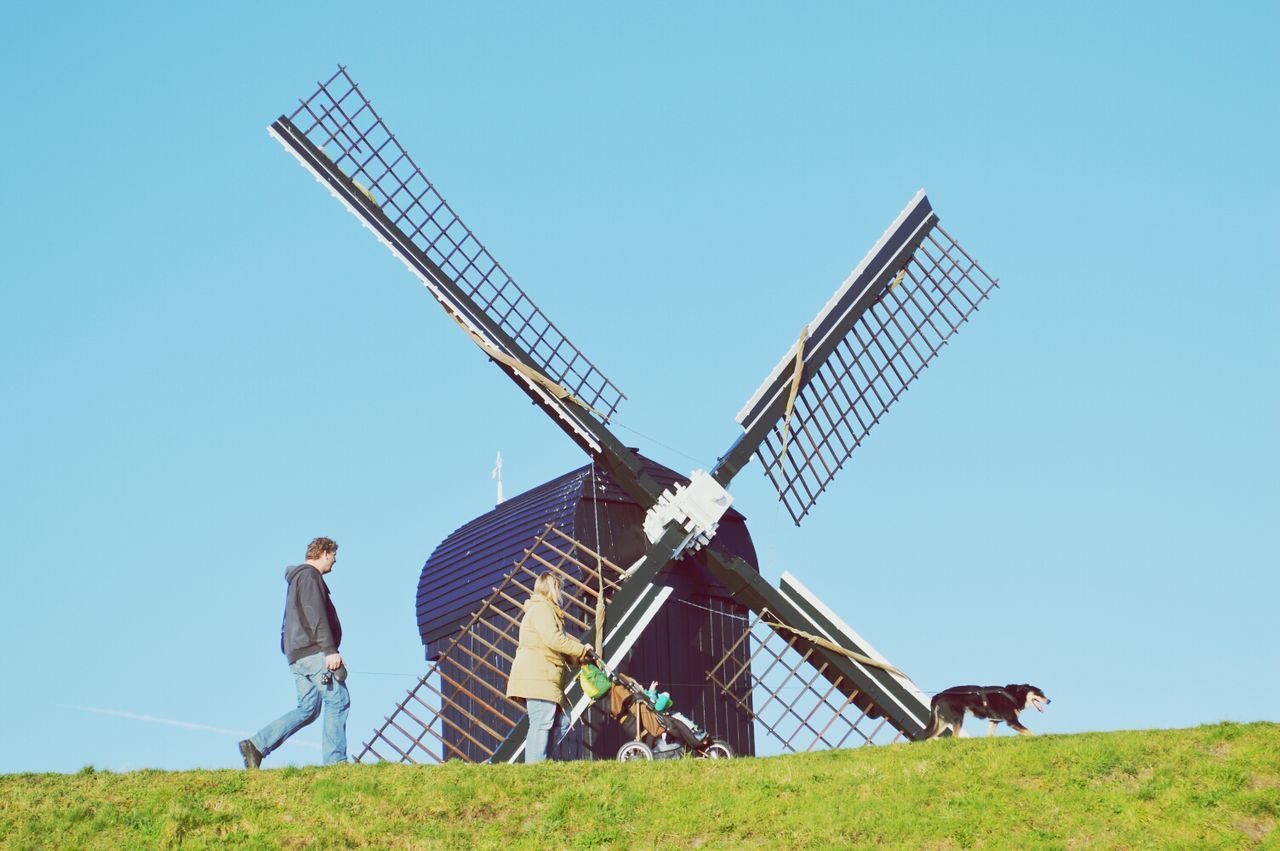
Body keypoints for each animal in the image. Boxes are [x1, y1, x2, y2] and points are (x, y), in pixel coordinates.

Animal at [921, 685, 1049, 737]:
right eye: (1039, 693)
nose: (1049, 701)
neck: (1014, 695)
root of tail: (938, 695)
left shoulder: (994, 721)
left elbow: (990, 735)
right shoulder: (1011, 720)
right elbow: (1029, 731)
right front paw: (1036, 738)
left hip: (943, 722)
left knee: (929, 738)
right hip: (958, 718)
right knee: (954, 736)